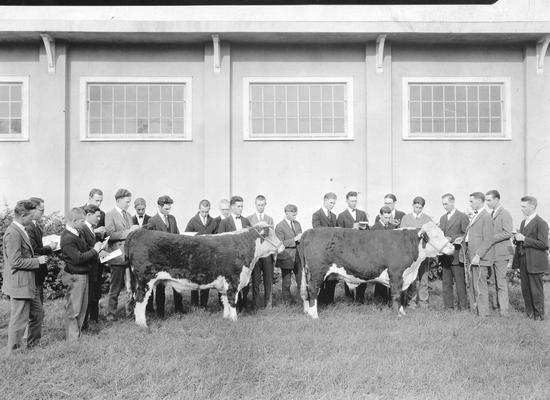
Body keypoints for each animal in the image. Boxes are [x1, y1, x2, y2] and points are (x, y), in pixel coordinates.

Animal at [126, 223, 284, 326]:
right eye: (272, 234)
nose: (282, 246)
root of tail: (139, 231)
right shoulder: (233, 281)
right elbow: (232, 301)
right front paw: (234, 320)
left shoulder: (224, 284)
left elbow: (225, 301)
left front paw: (226, 319)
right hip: (145, 279)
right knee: (140, 300)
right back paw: (143, 325)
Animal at [300, 222, 454, 318]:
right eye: (435, 236)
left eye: (442, 233)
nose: (452, 247)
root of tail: (310, 231)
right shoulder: (396, 274)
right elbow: (396, 295)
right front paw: (397, 315)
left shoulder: (404, 277)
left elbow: (402, 294)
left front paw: (402, 313)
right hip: (317, 272)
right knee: (313, 291)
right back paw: (314, 315)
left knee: (307, 291)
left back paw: (308, 312)